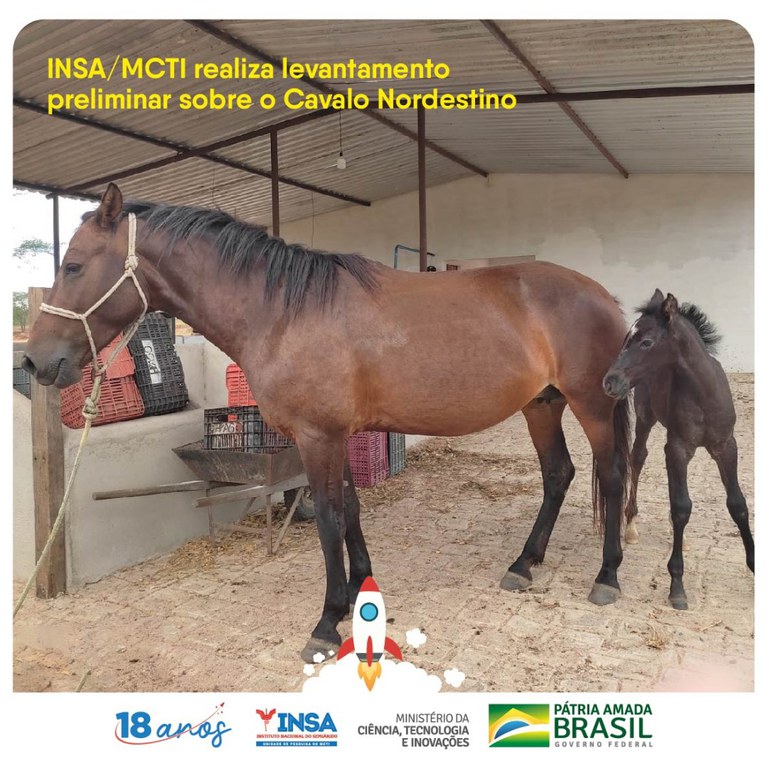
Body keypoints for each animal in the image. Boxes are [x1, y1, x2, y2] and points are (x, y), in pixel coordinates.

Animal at [23, 183, 632, 663]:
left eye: (73, 265)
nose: (34, 362)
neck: (284, 312)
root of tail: (605, 296)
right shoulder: (337, 436)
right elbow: (351, 511)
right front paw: (361, 591)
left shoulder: (318, 438)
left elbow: (328, 521)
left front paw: (326, 621)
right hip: (542, 405)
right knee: (558, 475)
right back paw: (524, 565)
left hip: (591, 406)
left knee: (612, 476)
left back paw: (606, 577)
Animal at [603, 289, 754, 610]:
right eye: (626, 339)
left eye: (646, 342)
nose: (610, 381)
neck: (703, 393)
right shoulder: (678, 447)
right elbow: (681, 507)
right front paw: (677, 585)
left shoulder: (726, 445)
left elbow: (737, 504)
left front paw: (755, 565)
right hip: (647, 420)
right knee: (638, 459)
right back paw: (631, 525)